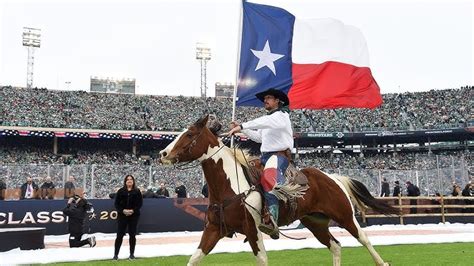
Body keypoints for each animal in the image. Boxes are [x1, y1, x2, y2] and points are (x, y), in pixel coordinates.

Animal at [158, 116, 396, 266]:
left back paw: (382, 262)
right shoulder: (213, 229)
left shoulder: (252, 230)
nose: (162, 154)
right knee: (336, 246)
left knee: (364, 238)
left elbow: (262, 259)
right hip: (315, 222)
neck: (231, 186)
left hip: (344, 215)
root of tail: (332, 177)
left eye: (189, 134)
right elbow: (194, 258)